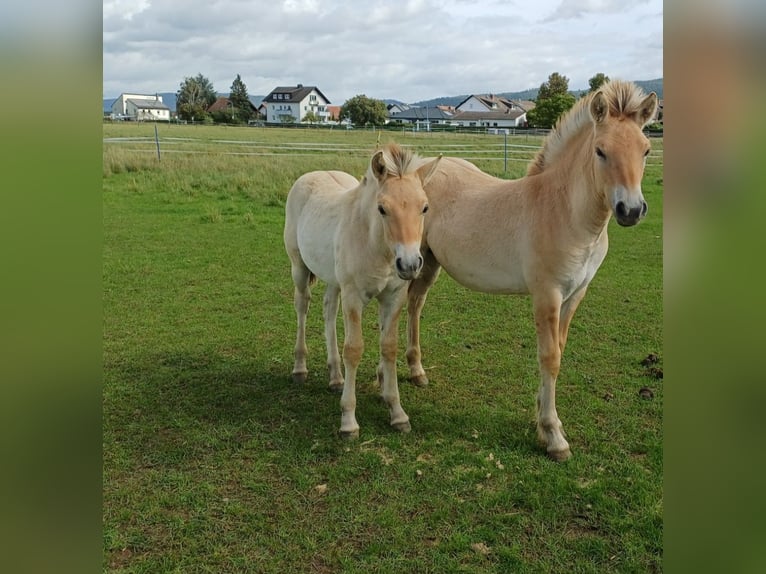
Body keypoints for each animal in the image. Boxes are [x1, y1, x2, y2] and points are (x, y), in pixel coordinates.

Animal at [284, 143, 442, 438]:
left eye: (425, 207)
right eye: (382, 208)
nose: (410, 264)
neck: (375, 245)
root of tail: (311, 174)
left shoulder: (393, 297)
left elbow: (388, 348)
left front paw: (398, 413)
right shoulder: (354, 297)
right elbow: (354, 349)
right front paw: (348, 421)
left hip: (334, 280)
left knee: (328, 310)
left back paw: (335, 376)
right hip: (299, 268)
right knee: (302, 306)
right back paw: (300, 368)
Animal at [405, 80, 659, 461]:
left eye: (645, 150)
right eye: (600, 151)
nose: (630, 210)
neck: (565, 212)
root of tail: (418, 170)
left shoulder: (575, 294)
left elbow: (560, 350)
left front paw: (543, 419)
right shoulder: (546, 294)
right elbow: (550, 357)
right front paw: (554, 437)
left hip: (430, 263)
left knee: (415, 304)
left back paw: (417, 371)